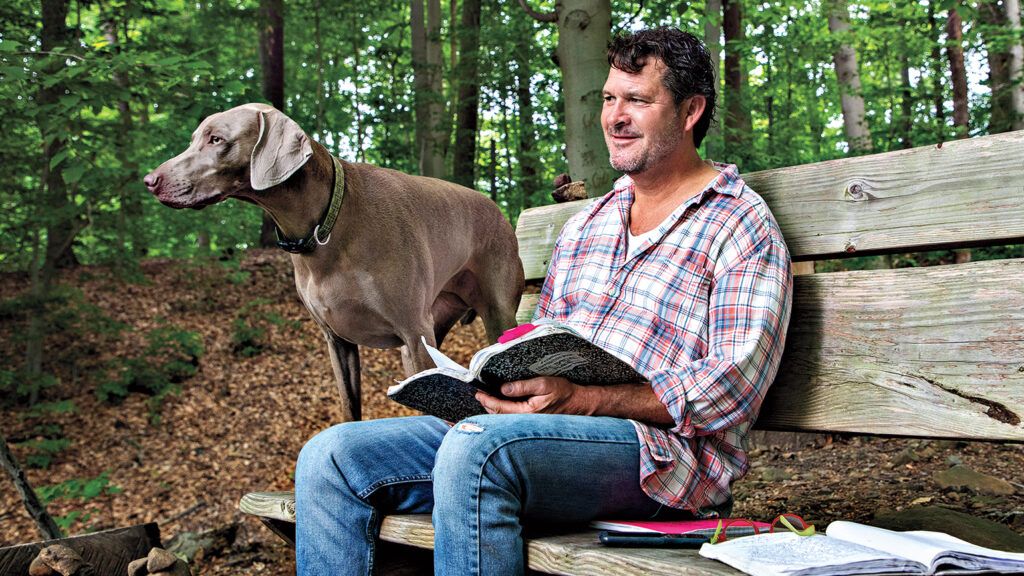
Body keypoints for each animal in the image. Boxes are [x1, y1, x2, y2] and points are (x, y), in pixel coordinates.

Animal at [146, 101, 528, 416]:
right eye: (195, 138)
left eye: (216, 139)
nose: (150, 180)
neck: (327, 225)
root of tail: (498, 211)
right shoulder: (338, 341)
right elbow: (349, 408)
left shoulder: (413, 332)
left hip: (490, 314)